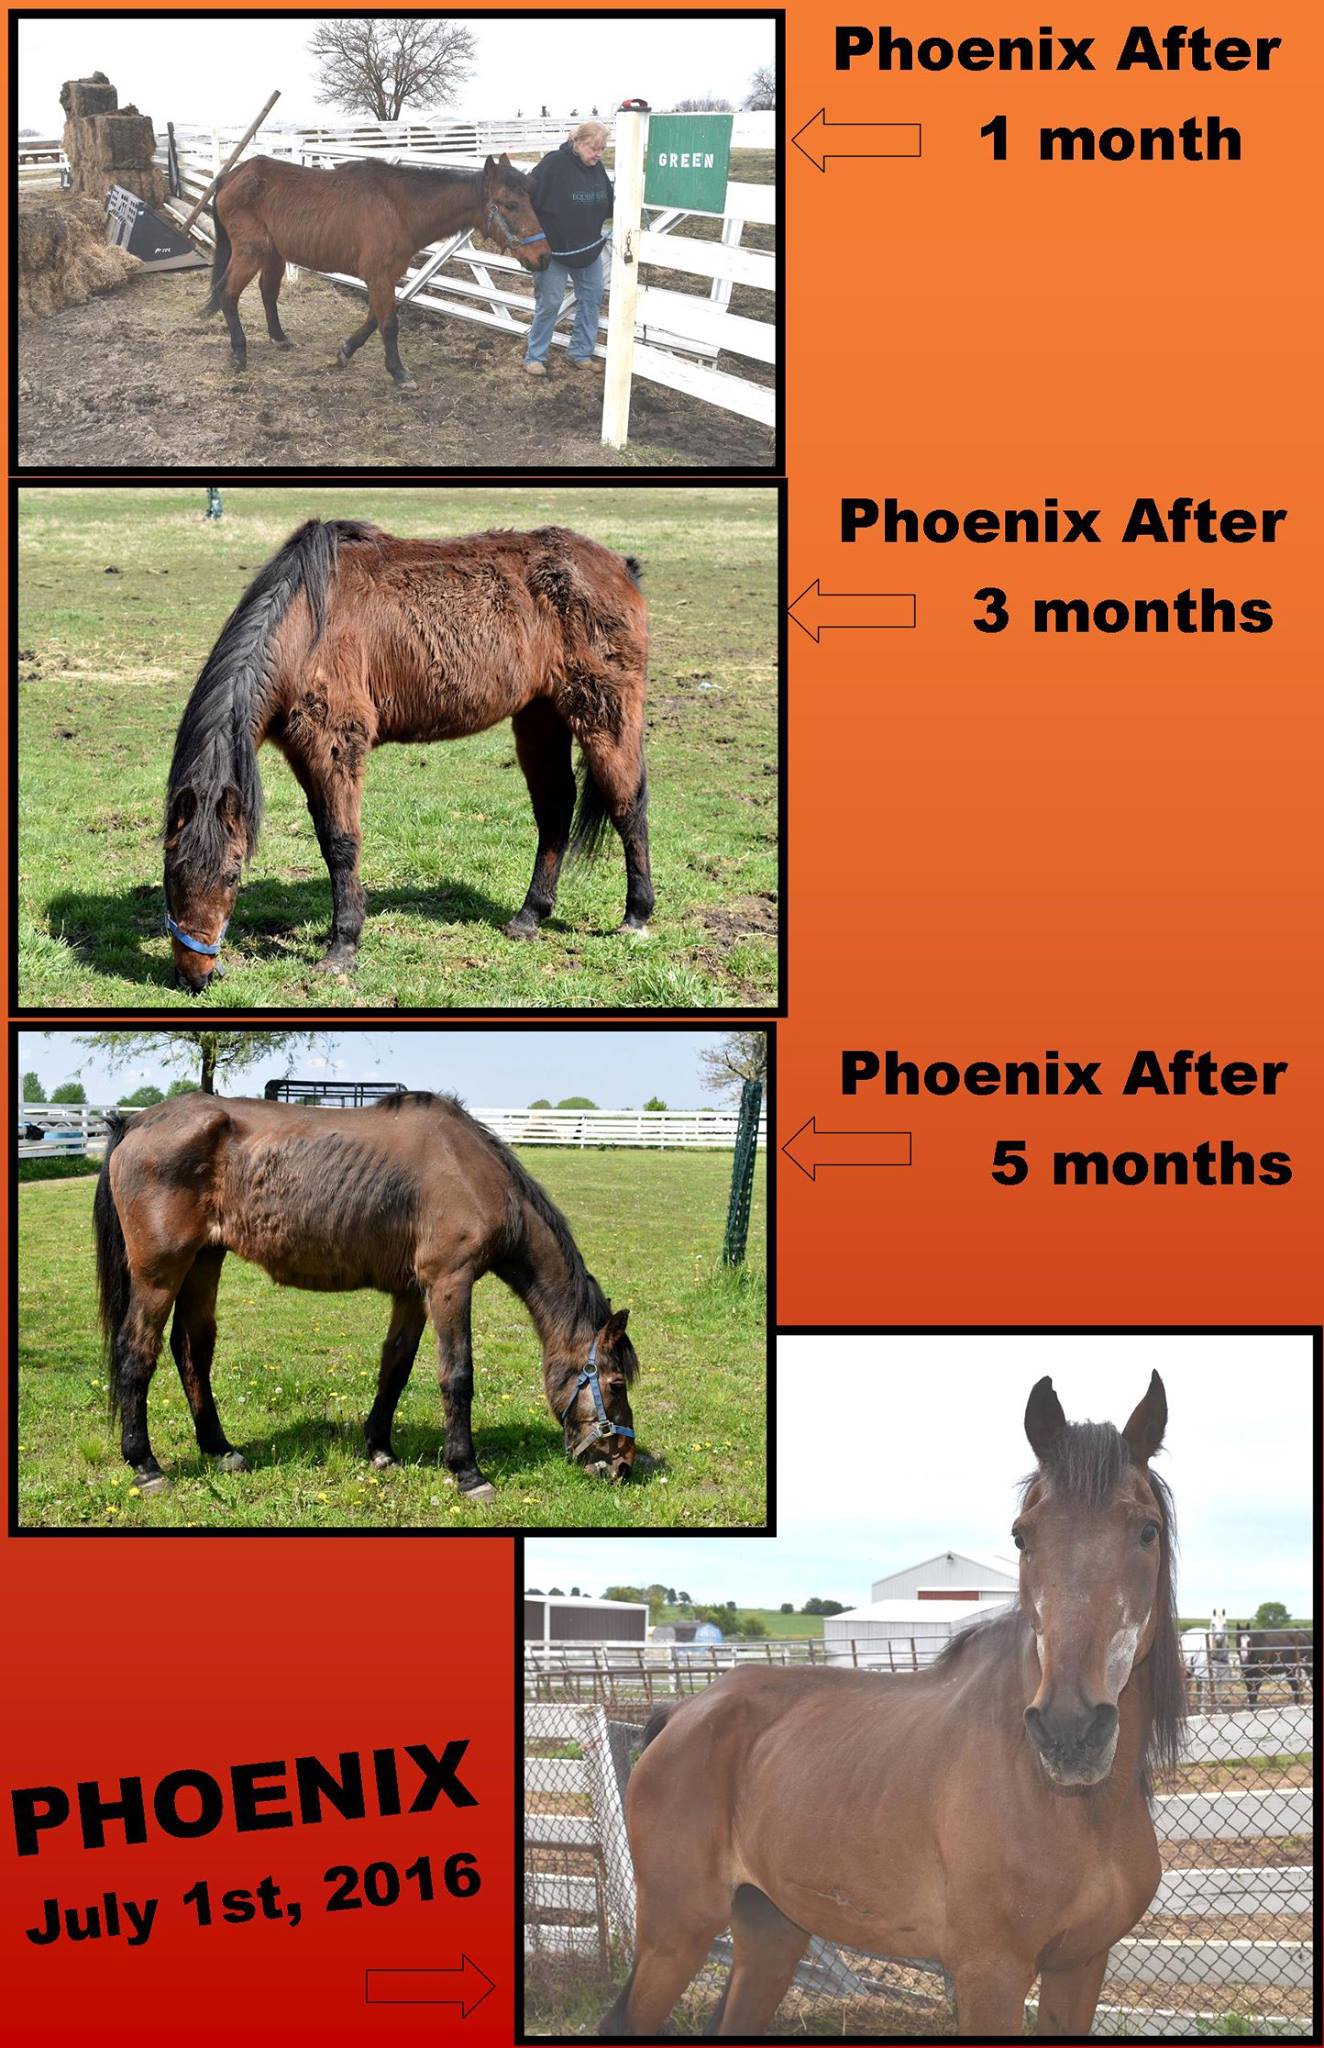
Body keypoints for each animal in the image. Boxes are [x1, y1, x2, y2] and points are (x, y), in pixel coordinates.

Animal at [93, 1090, 638, 1501]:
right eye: (615, 1384)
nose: (623, 1466)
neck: (469, 1171)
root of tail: (135, 1122)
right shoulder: (450, 1282)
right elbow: (457, 1376)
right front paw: (468, 1472)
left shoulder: (413, 1292)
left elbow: (395, 1367)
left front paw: (380, 1449)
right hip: (160, 1272)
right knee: (136, 1353)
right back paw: (146, 1465)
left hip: (204, 1260)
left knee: (193, 1350)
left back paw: (220, 1449)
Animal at [162, 517, 652, 992]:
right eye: (170, 872)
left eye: (232, 875)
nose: (194, 976)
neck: (304, 625)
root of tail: (621, 568)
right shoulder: (303, 753)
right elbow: (327, 840)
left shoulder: (335, 744)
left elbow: (341, 843)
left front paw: (342, 949)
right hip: (540, 718)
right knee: (555, 810)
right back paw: (529, 917)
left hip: (603, 713)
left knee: (627, 803)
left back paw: (636, 915)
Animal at [202, 152, 549, 386]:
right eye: (509, 204)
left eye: (531, 199)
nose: (544, 257)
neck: (398, 207)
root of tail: (230, 177)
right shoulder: (379, 275)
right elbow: (389, 324)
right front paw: (398, 372)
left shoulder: (385, 276)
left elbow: (374, 318)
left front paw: (346, 351)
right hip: (251, 252)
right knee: (228, 293)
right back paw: (239, 353)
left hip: (274, 254)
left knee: (267, 292)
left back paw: (278, 338)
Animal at [601, 1372, 1186, 2037]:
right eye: (1022, 1536)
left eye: (1147, 1531)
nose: (1070, 1729)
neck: (1079, 1810)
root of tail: (685, 1713)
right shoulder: (991, 1976)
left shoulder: (1081, 1966)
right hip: (676, 1933)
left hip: (772, 1930)